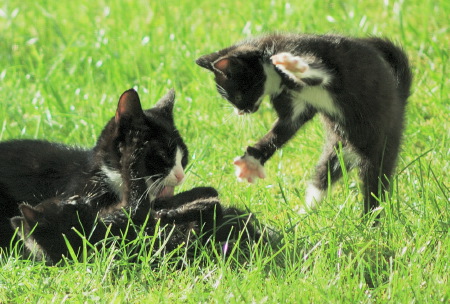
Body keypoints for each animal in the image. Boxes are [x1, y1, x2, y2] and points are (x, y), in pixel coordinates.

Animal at [10, 186, 260, 264]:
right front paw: (164, 211)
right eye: (70, 205)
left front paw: (159, 202)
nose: (80, 198)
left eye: (69, 198)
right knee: (211, 209)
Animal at [195, 33, 414, 215]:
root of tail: (399, 97)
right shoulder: (295, 107)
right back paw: (303, 216)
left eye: (238, 96)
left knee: (375, 186)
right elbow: (281, 131)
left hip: (382, 143)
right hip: (338, 149)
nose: (240, 111)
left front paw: (291, 65)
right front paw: (251, 162)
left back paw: (370, 223)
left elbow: (318, 73)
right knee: (322, 177)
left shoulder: (318, 61)